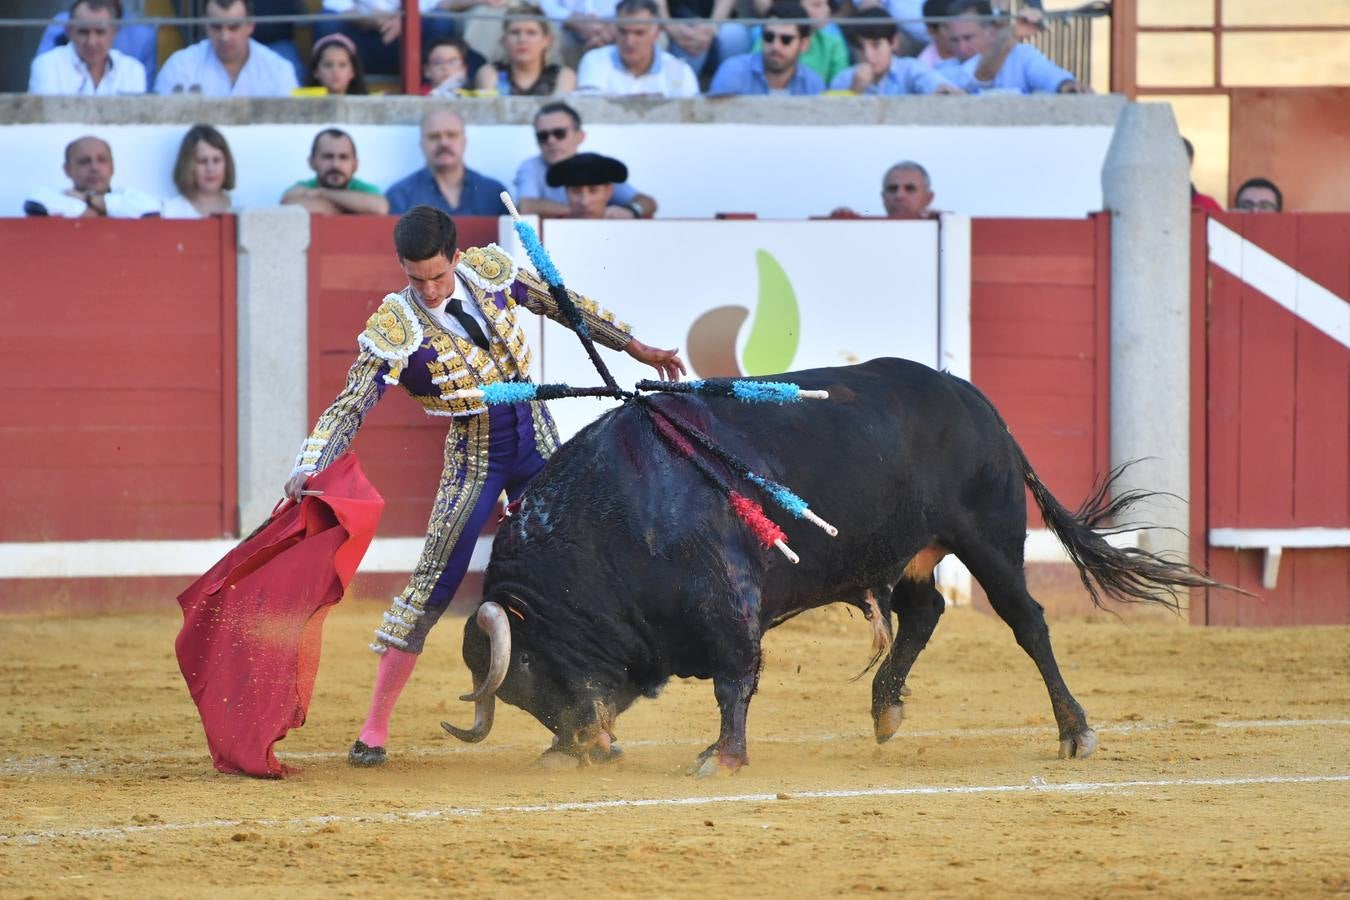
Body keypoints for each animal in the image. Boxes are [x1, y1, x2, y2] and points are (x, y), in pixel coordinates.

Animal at [445, 358, 1225, 777]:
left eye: (534, 670)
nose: (589, 748)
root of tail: (975, 401)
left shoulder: (728, 606)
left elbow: (734, 682)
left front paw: (722, 757)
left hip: (989, 538)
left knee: (1027, 622)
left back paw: (1075, 732)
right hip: (911, 551)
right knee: (925, 613)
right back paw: (885, 711)